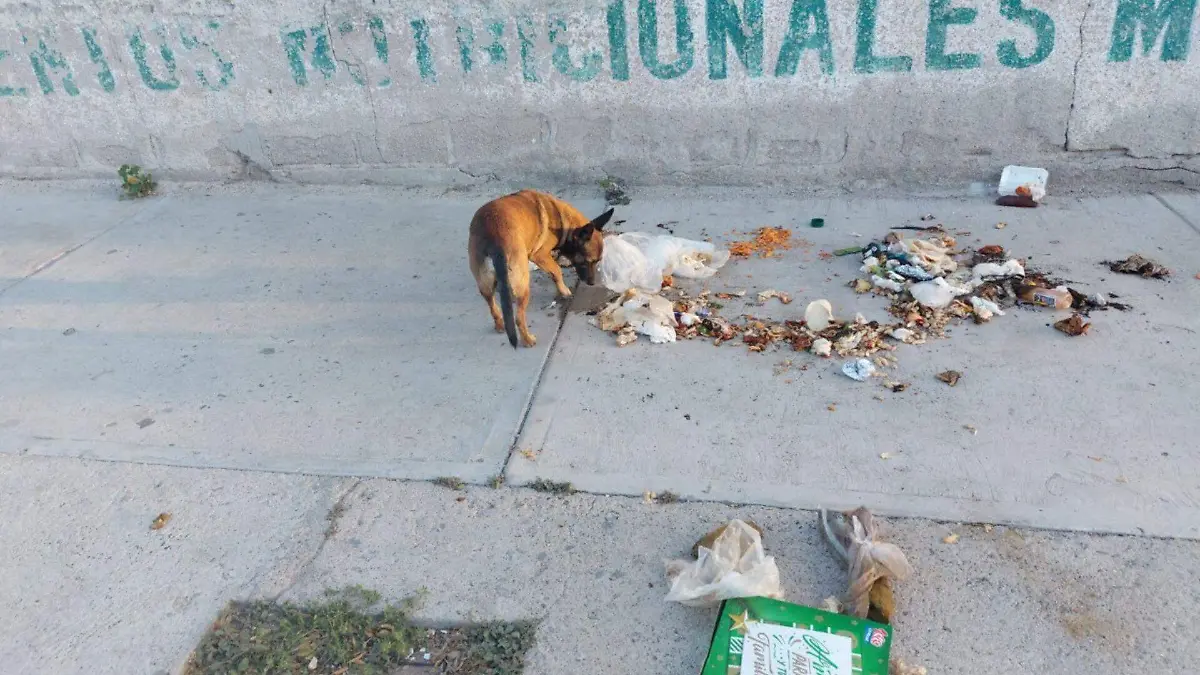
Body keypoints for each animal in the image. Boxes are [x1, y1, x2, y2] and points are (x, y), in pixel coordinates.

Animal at [468, 189, 614, 345]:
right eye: (587, 262)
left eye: (597, 261)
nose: (592, 283)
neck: (564, 223)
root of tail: (494, 237)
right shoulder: (540, 255)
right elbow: (557, 270)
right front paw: (564, 291)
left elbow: (553, 272)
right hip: (523, 285)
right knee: (518, 318)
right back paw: (528, 340)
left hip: (486, 283)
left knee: (492, 305)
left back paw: (500, 324)